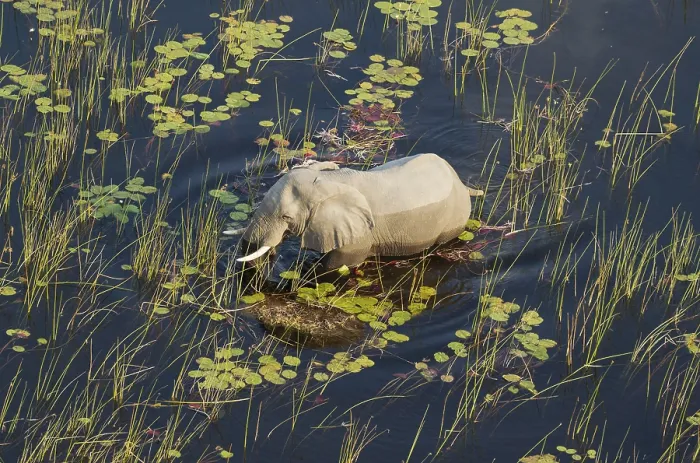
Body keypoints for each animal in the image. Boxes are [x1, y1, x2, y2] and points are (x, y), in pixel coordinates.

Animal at [233, 153, 483, 270]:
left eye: (286, 217)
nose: (272, 254)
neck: (328, 181)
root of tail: (461, 182)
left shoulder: (359, 237)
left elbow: (336, 266)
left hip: (455, 217)